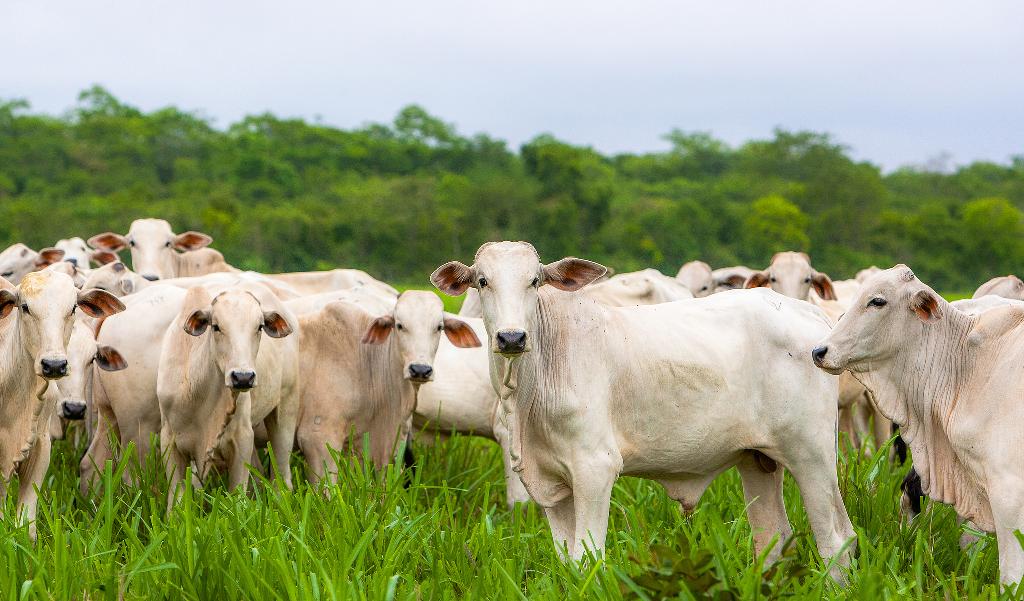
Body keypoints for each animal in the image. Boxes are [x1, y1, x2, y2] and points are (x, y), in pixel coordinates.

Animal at [158, 286, 298, 508]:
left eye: (259, 327)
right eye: (215, 326)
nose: (243, 377)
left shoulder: (242, 439)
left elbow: (238, 497)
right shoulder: (169, 440)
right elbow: (177, 500)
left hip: (286, 409)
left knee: (282, 478)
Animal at [431, 241, 854, 578]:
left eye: (534, 281)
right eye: (482, 281)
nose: (512, 337)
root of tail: (810, 315)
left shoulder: (595, 468)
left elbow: (588, 557)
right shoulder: (551, 484)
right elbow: (567, 561)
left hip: (812, 455)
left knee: (836, 539)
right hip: (757, 460)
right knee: (773, 538)